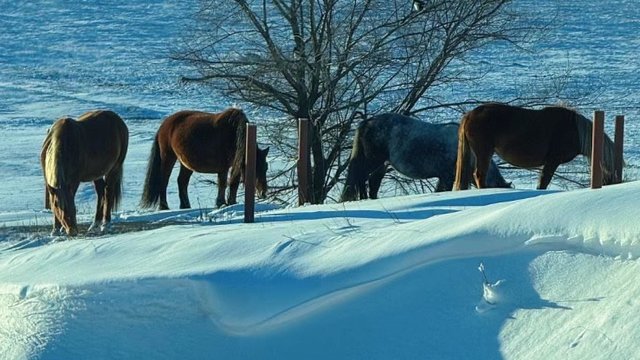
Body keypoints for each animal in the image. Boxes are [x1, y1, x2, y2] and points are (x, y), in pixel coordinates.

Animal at [140, 107, 270, 210]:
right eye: (256, 167)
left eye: (265, 168)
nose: (263, 193)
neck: (234, 134)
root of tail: (164, 125)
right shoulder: (223, 166)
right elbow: (223, 183)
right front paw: (221, 203)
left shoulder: (236, 164)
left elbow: (234, 183)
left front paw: (231, 203)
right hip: (168, 157)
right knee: (164, 181)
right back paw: (164, 206)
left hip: (185, 163)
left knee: (182, 181)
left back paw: (185, 205)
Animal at [340, 112, 510, 201]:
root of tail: (367, 122)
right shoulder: (447, 176)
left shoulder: (444, 177)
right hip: (372, 161)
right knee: (360, 178)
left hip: (381, 165)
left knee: (372, 182)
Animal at [452, 102, 616, 190]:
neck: (574, 130)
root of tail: (470, 115)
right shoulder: (552, 161)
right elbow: (544, 181)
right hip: (484, 152)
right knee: (479, 175)